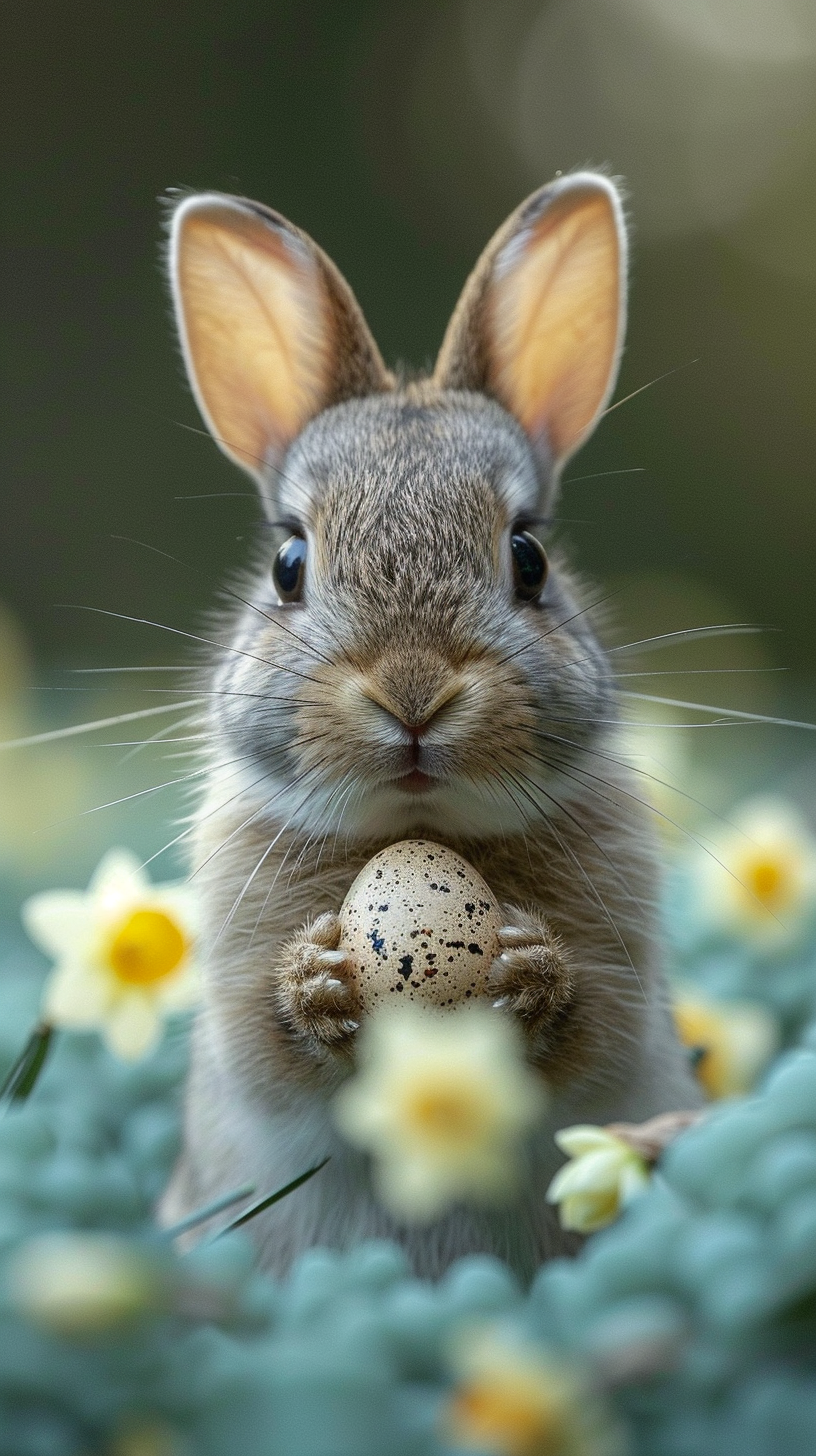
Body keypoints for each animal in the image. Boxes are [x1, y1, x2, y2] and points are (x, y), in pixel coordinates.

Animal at [158, 173, 702, 1275]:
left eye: (529, 558)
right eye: (288, 565)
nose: (412, 693)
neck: (419, 830)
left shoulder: (626, 974)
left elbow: (590, 1029)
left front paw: (530, 975)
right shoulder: (233, 985)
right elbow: (269, 1042)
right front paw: (320, 982)